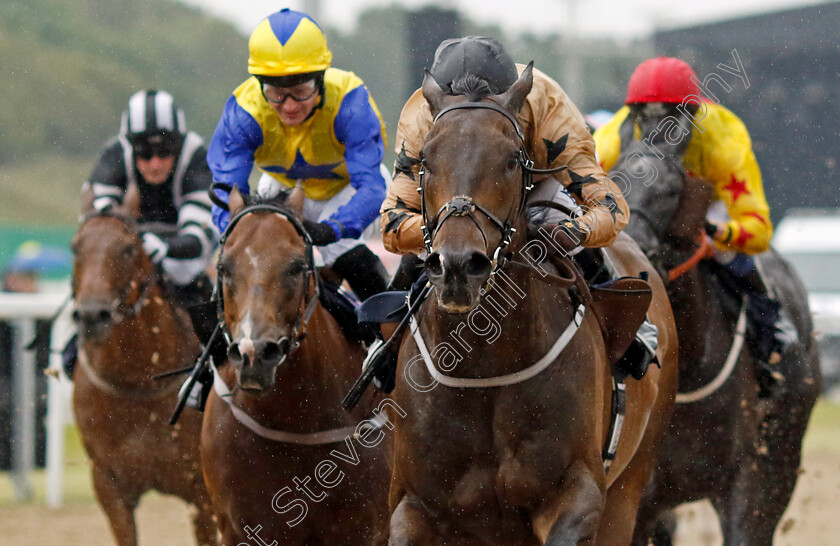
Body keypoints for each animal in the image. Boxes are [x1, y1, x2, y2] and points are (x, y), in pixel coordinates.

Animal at [71, 184, 217, 544]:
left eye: (127, 249)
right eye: (75, 247)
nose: (93, 315)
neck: (139, 380)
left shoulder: (203, 494)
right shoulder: (108, 483)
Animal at [199, 186, 390, 540]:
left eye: (296, 266)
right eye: (224, 268)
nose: (254, 354)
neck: (296, 421)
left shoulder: (369, 529)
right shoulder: (238, 527)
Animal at [384, 65, 680, 544]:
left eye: (511, 159)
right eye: (425, 160)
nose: (458, 266)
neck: (485, 366)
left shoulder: (578, 491)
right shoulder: (414, 503)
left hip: (631, 484)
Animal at [612, 108, 820, 540]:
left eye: (671, 189)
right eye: (614, 179)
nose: (631, 251)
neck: (689, 361)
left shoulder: (748, 484)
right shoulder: (638, 496)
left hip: (783, 456)